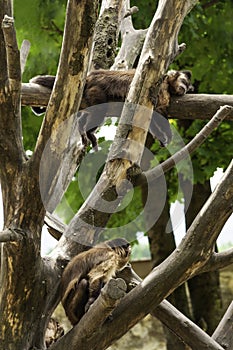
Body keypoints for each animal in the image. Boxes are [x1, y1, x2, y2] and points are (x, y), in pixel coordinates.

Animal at [29, 69, 193, 150]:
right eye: (183, 81)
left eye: (187, 85)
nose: (185, 89)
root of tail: (89, 77)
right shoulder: (162, 87)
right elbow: (157, 112)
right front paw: (167, 137)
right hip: (96, 90)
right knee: (99, 112)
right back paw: (87, 131)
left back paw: (82, 128)